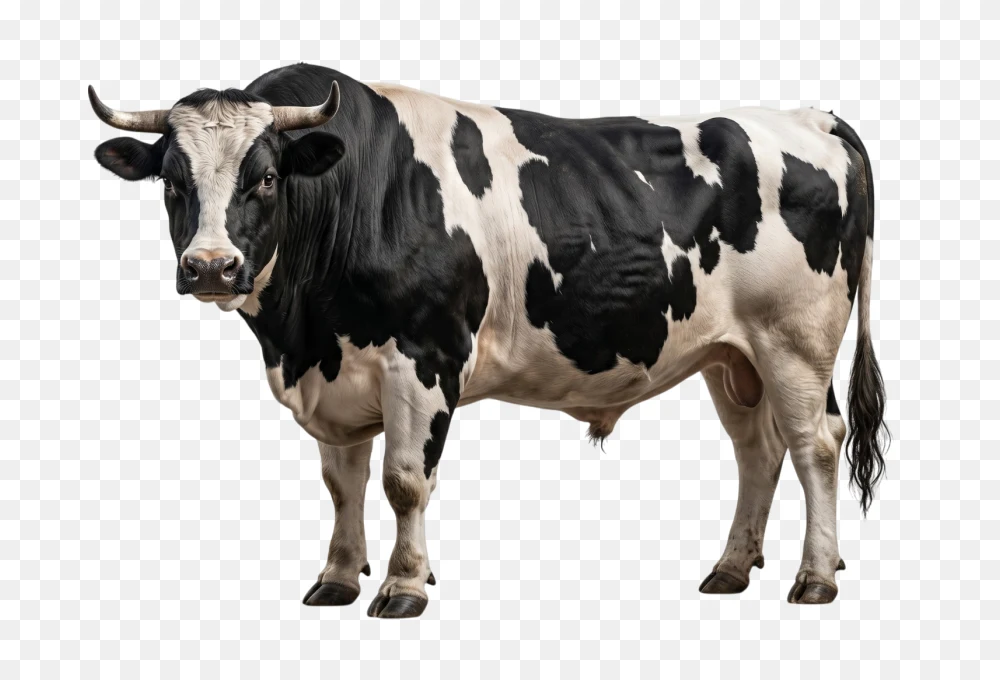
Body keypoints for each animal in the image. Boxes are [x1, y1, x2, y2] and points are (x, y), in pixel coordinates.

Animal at [89, 63, 888, 618]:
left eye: (264, 177)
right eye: (171, 180)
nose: (210, 267)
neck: (302, 332)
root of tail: (812, 117)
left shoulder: (425, 358)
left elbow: (403, 481)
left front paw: (404, 586)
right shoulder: (335, 373)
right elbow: (343, 484)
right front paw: (339, 577)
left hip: (795, 341)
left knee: (816, 445)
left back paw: (815, 576)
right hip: (731, 358)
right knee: (758, 451)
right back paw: (730, 568)